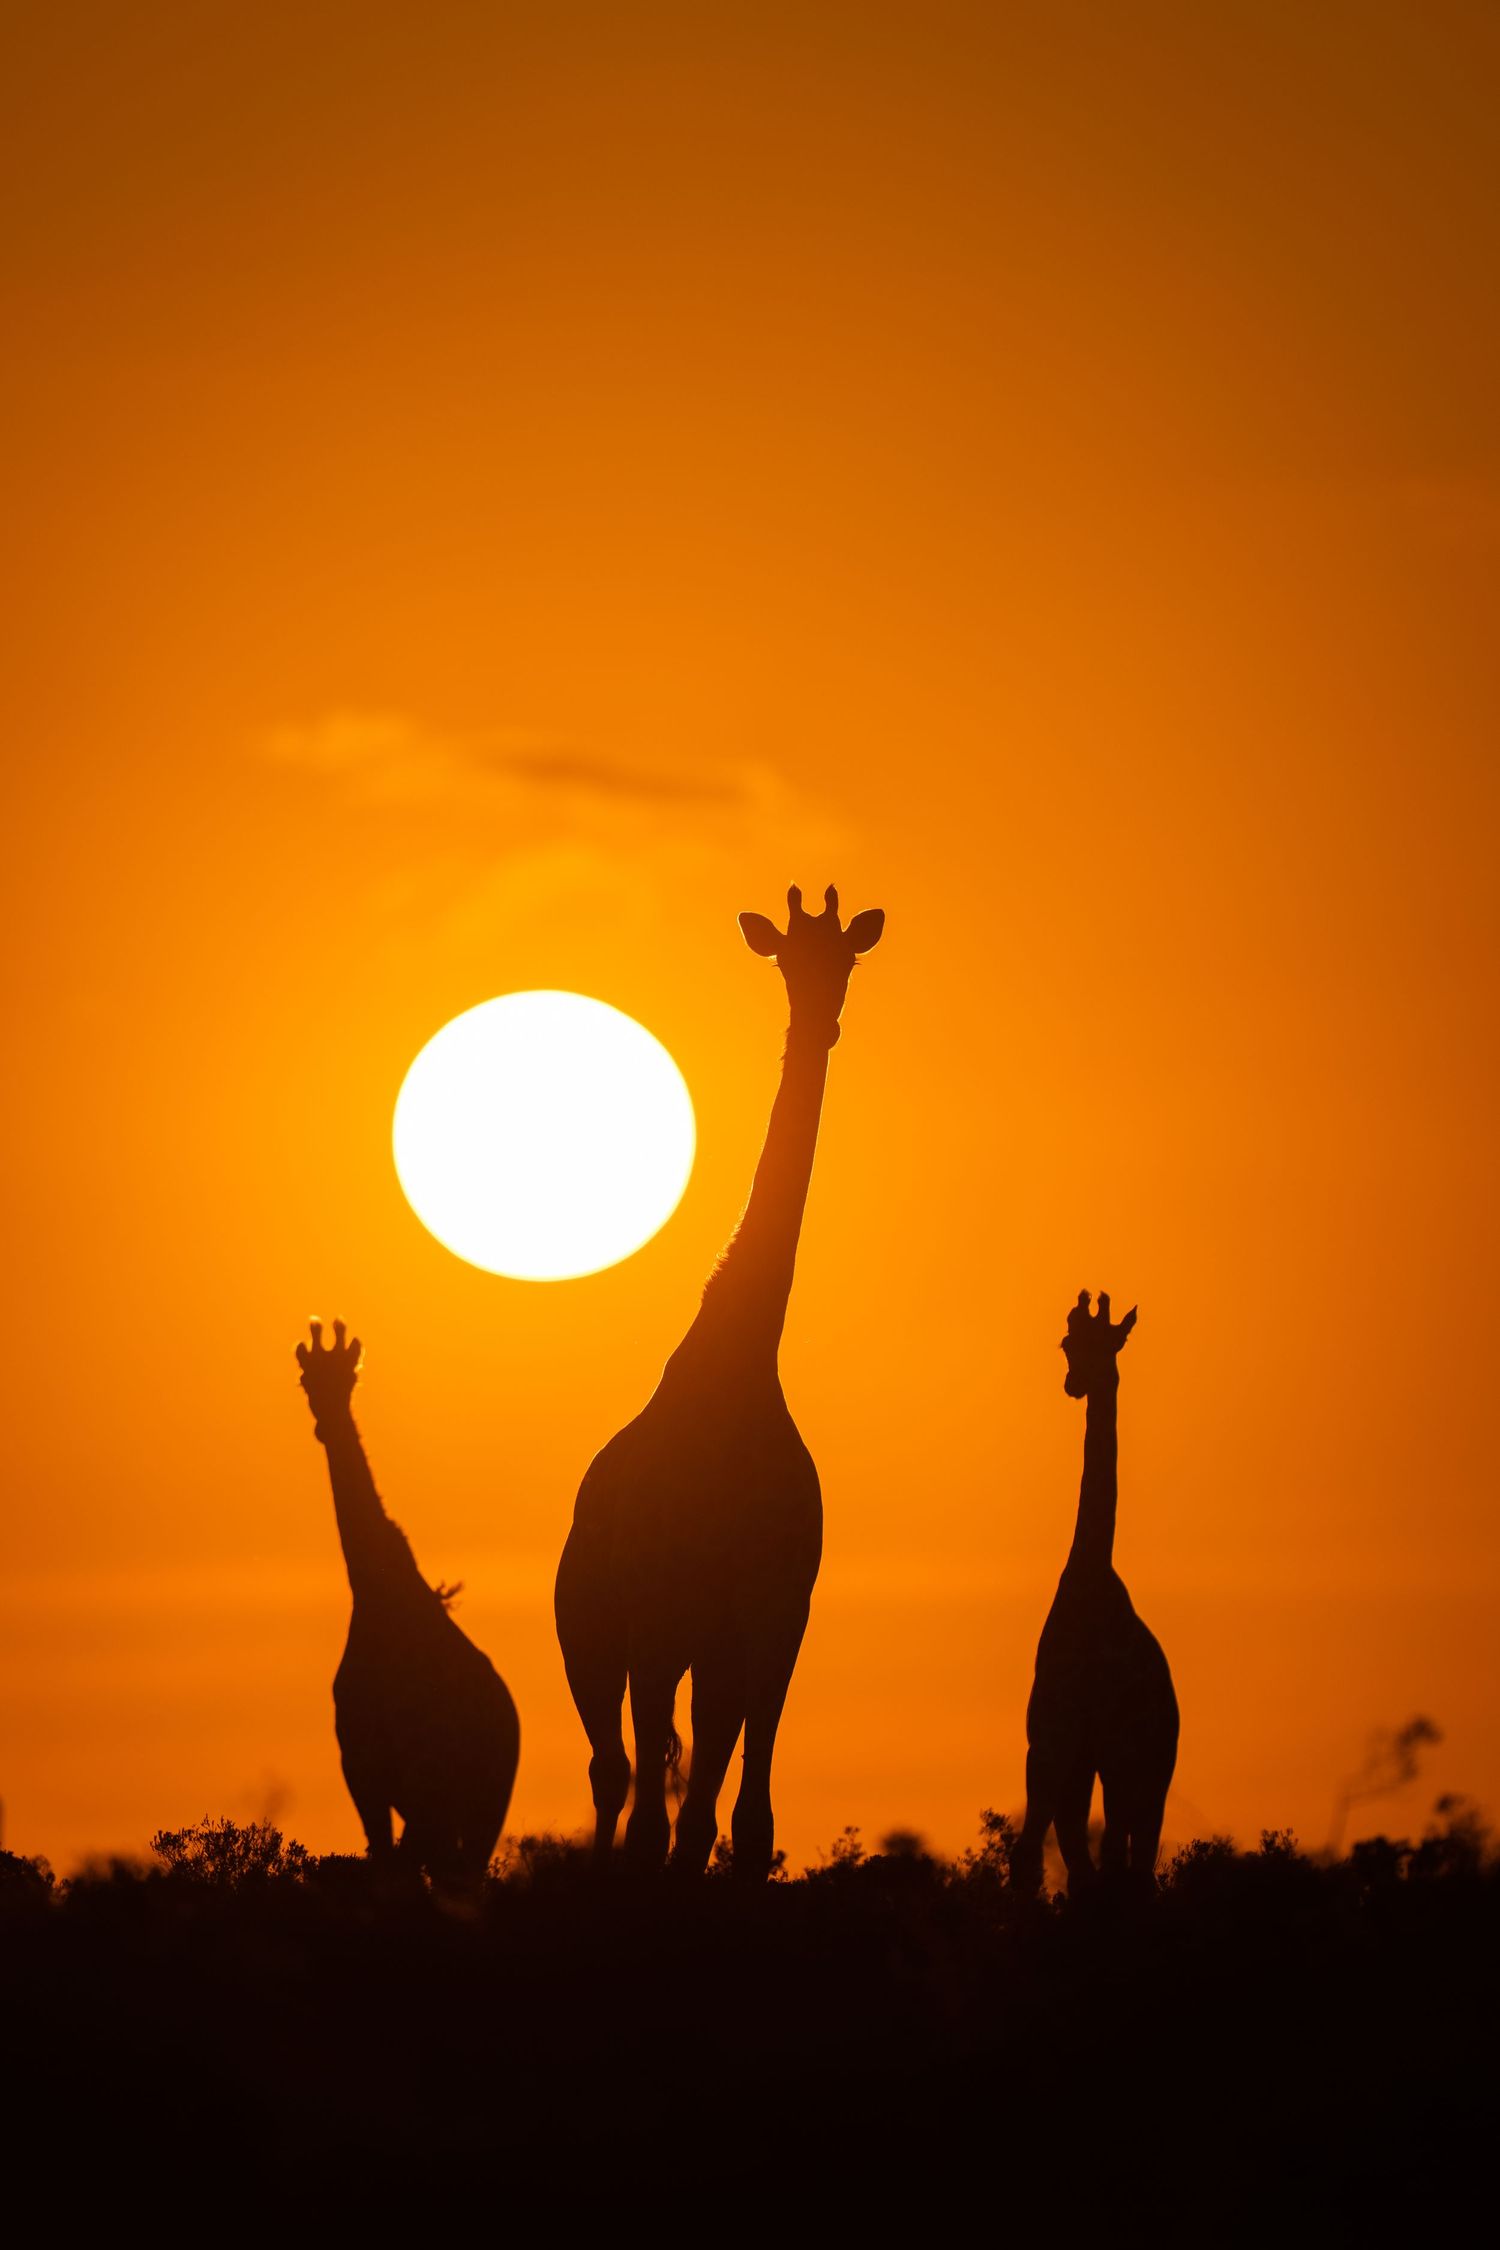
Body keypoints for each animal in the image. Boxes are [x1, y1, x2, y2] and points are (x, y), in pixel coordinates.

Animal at [296, 1318, 520, 1887]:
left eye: (350, 1379)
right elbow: (387, 1859)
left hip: (472, 1800)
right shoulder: (364, 1766)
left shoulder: (391, 1768)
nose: (327, 1424)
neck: (375, 1594)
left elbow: (394, 1863)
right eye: (306, 1381)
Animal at [555, 884, 884, 1879]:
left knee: (677, 1785)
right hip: (593, 1633)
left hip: (706, 1647)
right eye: (786, 961)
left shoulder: (774, 1617)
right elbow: (662, 1814)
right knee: (613, 1770)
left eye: (846, 960)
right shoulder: (661, 1615)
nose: (820, 1022)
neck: (738, 1369)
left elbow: (744, 1820)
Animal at [1013, 1291, 1179, 1894]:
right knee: (1104, 1858)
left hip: (1149, 1767)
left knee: (1131, 1860)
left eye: (1114, 1341)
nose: (1077, 1382)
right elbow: (1038, 1855)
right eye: (1068, 1342)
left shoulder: (1102, 1749)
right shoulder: (1051, 1744)